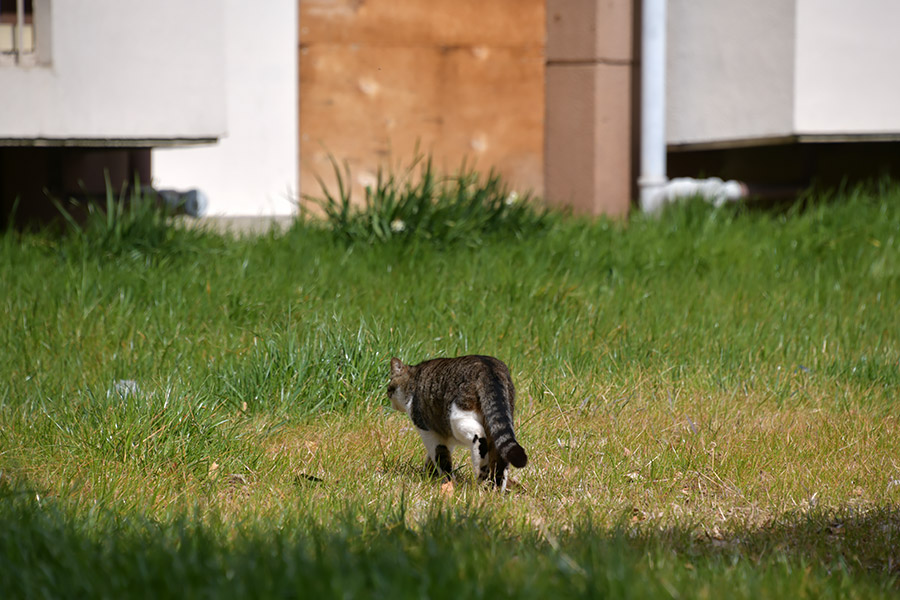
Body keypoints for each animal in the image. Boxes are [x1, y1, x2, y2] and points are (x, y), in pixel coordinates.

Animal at [386, 354, 528, 490]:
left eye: (389, 390)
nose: (390, 402)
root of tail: (488, 367)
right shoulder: (445, 435)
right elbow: (437, 456)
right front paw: (429, 474)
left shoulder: (428, 431)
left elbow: (440, 457)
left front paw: (447, 481)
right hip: (497, 421)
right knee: (500, 458)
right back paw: (494, 490)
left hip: (458, 418)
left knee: (479, 438)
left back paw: (480, 476)